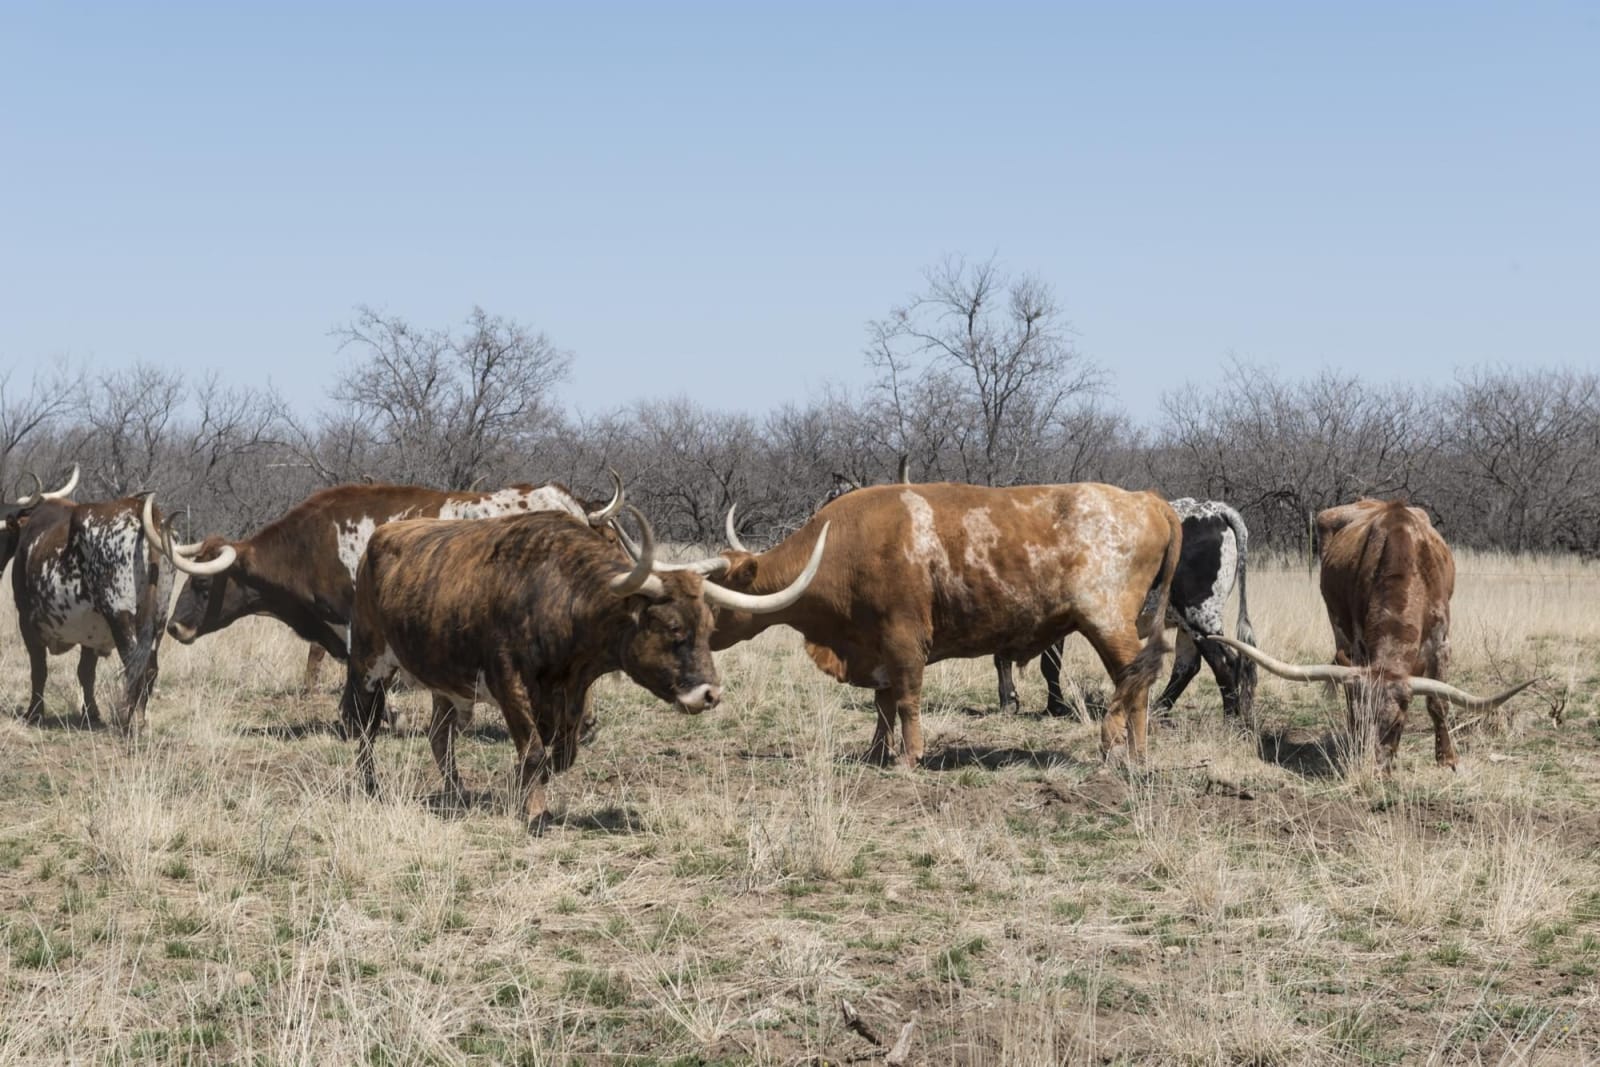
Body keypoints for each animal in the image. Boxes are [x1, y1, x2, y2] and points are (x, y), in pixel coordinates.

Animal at [1, 467, 176, 734]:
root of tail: (140, 510)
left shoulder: (27, 621)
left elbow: (39, 669)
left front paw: (34, 714)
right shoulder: (91, 630)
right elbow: (86, 672)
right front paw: (91, 714)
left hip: (119, 614)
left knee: (136, 666)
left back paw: (129, 721)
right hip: (158, 620)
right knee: (151, 668)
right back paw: (141, 721)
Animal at [342, 507, 828, 832]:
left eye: (709, 627)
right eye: (672, 627)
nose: (709, 695)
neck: (554, 592)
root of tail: (381, 537)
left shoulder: (567, 693)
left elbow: (559, 754)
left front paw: (525, 795)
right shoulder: (509, 682)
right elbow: (534, 751)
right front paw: (534, 813)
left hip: (445, 684)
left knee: (439, 737)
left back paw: (457, 792)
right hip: (369, 662)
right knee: (366, 727)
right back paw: (371, 788)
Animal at [712, 482, 1182, 766]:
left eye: (714, 596)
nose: (704, 639)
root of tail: (1144, 499)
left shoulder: (904, 641)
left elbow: (906, 700)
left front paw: (909, 757)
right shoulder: (879, 648)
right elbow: (883, 705)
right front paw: (877, 752)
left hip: (1108, 624)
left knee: (1134, 682)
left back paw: (1125, 753)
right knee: (1133, 683)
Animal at [995, 497, 1257, 724]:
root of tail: (1214, 509)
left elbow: (1048, 665)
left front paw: (1053, 707)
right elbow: (1007, 658)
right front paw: (1012, 701)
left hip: (1199, 614)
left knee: (1224, 664)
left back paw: (1230, 721)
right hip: (1187, 621)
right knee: (1188, 666)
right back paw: (1158, 710)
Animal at [1211, 498, 1534, 772]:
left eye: (1399, 723)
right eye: (1366, 721)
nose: (1375, 769)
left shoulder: (1442, 642)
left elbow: (1437, 703)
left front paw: (1448, 759)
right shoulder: (1357, 642)